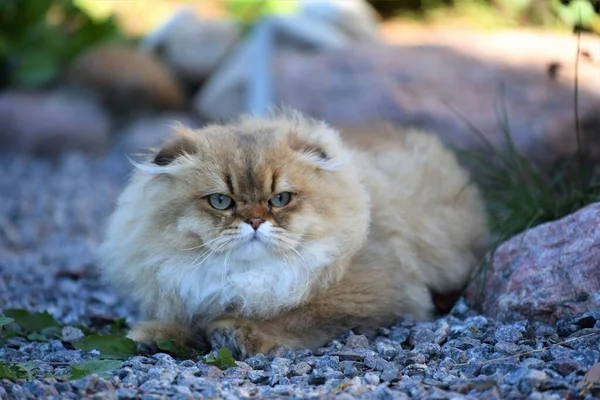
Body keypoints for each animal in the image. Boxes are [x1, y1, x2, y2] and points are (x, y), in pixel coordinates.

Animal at [98, 109, 490, 360]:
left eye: (280, 199)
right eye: (221, 201)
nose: (255, 222)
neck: (248, 276)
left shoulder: (367, 290)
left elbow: (292, 315)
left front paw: (237, 331)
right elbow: (184, 319)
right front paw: (157, 335)